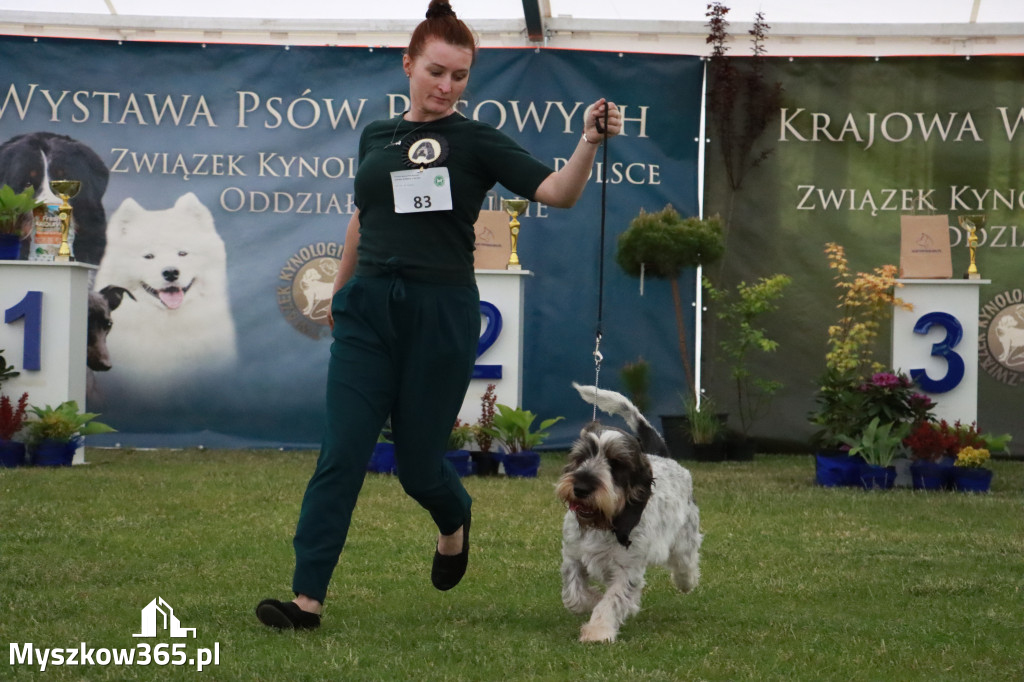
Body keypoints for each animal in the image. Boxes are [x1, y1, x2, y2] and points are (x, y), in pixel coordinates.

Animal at [557, 382, 700, 643]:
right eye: (581, 457)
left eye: (617, 464)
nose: (581, 488)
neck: (603, 521)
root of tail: (662, 456)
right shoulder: (573, 557)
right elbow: (574, 596)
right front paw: (594, 601)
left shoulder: (627, 569)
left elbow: (612, 600)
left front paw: (598, 630)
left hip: (685, 538)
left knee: (687, 562)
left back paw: (686, 581)